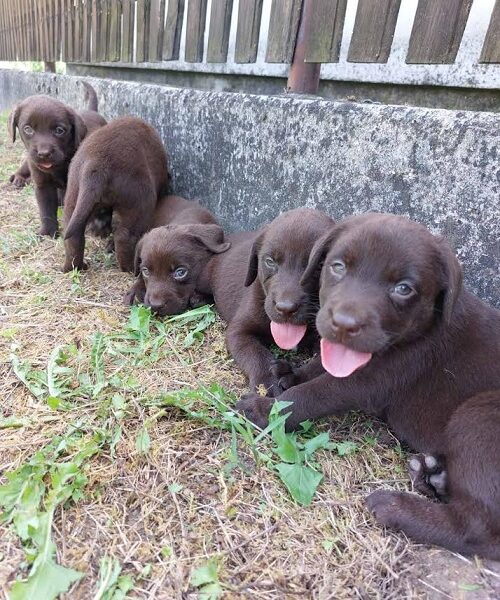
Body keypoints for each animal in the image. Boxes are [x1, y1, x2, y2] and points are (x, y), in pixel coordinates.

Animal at [7, 82, 107, 237]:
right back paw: (19, 179)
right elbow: (46, 209)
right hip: (30, 161)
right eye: (28, 129)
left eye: (59, 130)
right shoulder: (43, 184)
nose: (44, 153)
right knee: (23, 169)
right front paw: (48, 231)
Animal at [61, 117, 168, 272]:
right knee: (124, 236)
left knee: (73, 238)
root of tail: (95, 166)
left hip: (73, 195)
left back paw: (74, 267)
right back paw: (129, 268)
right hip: (139, 202)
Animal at [197, 209, 334, 396]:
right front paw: (267, 384)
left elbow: (320, 365)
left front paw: (293, 376)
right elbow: (256, 354)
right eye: (270, 261)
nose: (286, 308)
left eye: (319, 265)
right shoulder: (238, 332)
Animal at [238, 213, 500, 560]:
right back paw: (432, 475)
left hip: (480, 415)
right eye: (337, 266)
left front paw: (265, 409)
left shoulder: (376, 376)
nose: (344, 324)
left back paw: (395, 507)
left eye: (403, 288)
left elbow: (314, 393)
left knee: (479, 530)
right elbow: (321, 366)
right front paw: (287, 376)